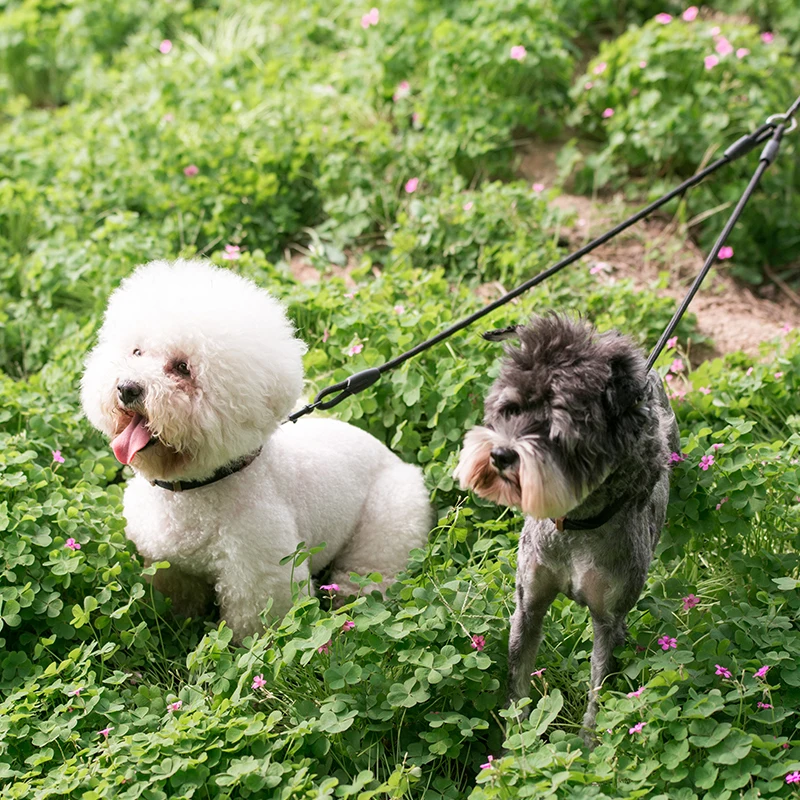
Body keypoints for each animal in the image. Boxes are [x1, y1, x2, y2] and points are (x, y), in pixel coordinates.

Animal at [81, 260, 432, 640]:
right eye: (136, 352)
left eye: (182, 368)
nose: (127, 388)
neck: (194, 488)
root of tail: (396, 459)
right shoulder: (166, 562)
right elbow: (177, 599)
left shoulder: (257, 575)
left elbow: (253, 628)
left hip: (388, 522)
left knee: (370, 569)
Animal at [456, 316, 676, 740]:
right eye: (508, 410)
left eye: (555, 427)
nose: (500, 455)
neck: (574, 524)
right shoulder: (529, 605)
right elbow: (518, 684)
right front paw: (516, 742)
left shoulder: (607, 622)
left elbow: (597, 695)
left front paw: (589, 746)